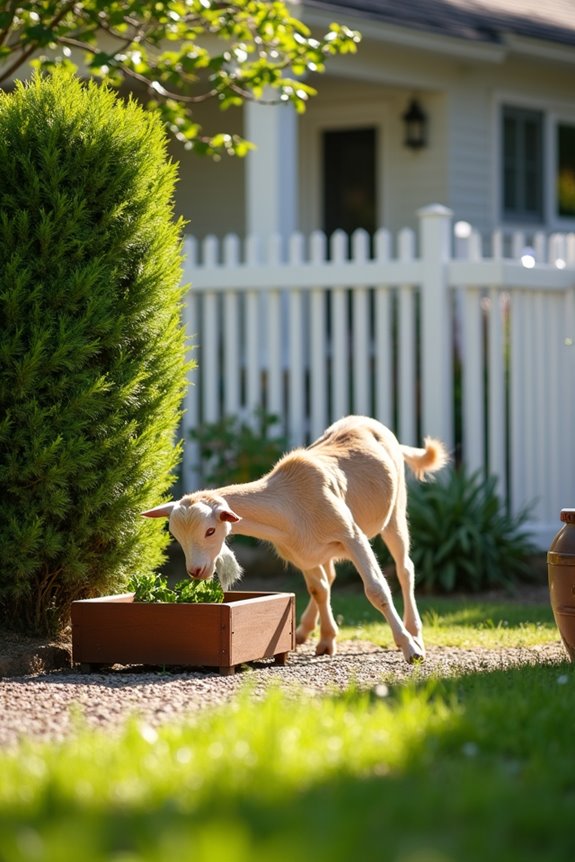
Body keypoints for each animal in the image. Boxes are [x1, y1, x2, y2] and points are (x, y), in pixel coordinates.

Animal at [142, 415, 448, 663]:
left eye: (210, 531)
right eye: (176, 536)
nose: (196, 571)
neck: (290, 503)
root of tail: (368, 422)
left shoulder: (352, 536)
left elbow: (376, 590)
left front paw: (410, 649)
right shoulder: (299, 554)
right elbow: (318, 589)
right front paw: (326, 641)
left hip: (395, 512)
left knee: (404, 568)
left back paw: (414, 631)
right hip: (318, 551)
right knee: (329, 578)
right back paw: (306, 631)